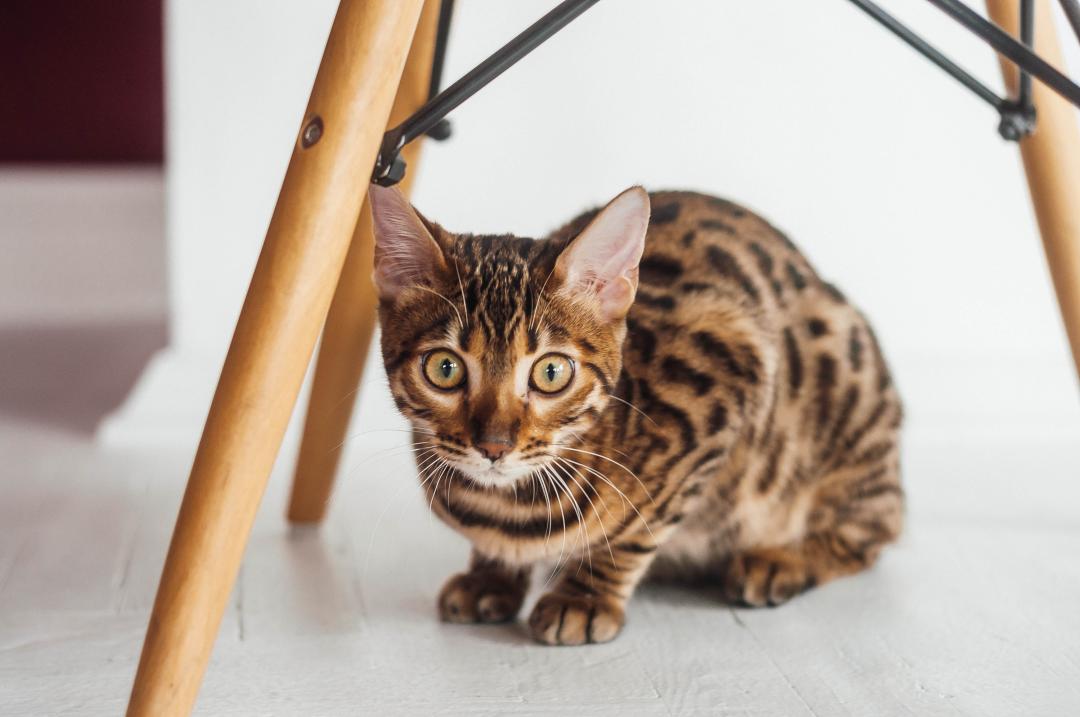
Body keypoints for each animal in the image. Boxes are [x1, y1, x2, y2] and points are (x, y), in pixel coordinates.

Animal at [369, 183, 902, 643]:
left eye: (551, 373)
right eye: (444, 368)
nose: (493, 446)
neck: (506, 508)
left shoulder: (736, 367)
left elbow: (637, 531)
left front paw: (584, 598)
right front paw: (490, 576)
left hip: (844, 380)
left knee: (875, 527)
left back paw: (780, 560)